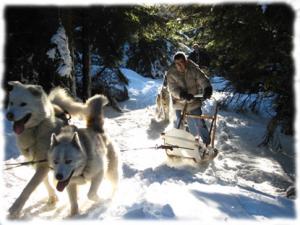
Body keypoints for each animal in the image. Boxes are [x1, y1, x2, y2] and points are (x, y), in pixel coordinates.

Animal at [6, 81, 79, 218]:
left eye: (23, 104)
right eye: (11, 103)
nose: (9, 115)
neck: (36, 130)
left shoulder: (43, 164)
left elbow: (29, 187)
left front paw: (16, 208)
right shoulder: (38, 163)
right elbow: (44, 182)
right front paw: (53, 197)